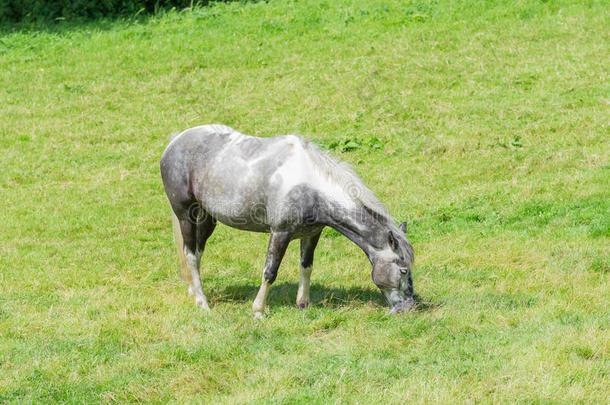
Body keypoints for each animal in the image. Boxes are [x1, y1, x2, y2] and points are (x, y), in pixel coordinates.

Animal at [159, 124, 414, 318]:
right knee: (190, 254)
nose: (410, 307)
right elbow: (270, 272)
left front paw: (303, 304)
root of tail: (175, 141)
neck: (310, 186)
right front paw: (258, 311)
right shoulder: (280, 233)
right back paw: (202, 303)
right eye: (402, 270)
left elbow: (306, 266)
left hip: (208, 218)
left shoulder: (312, 233)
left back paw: (194, 291)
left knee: (197, 252)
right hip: (185, 215)